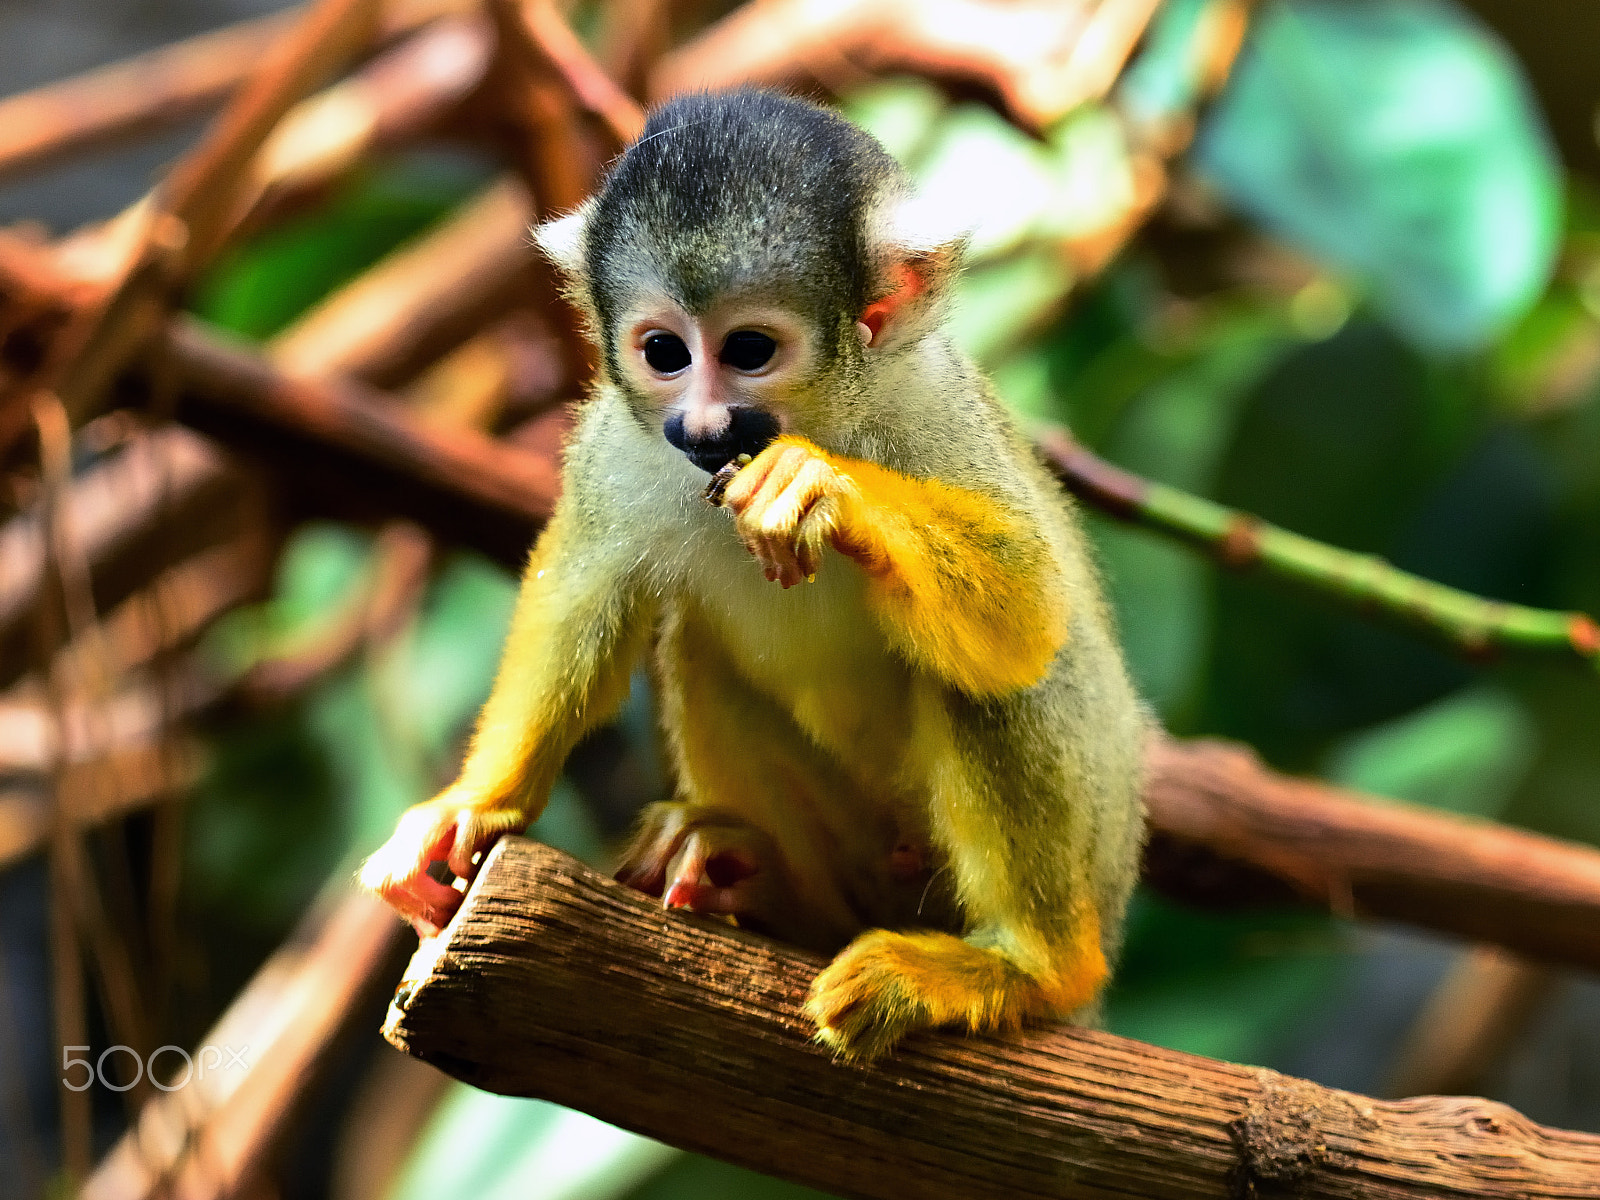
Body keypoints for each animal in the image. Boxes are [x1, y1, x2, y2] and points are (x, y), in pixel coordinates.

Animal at [359, 88, 1148, 1060]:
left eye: (748, 349)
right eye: (664, 352)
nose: (703, 426)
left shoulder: (926, 403)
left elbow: (1027, 616)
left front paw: (822, 486)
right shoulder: (617, 437)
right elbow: (583, 591)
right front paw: (475, 804)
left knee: (995, 681)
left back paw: (1025, 968)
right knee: (694, 642)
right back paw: (761, 883)